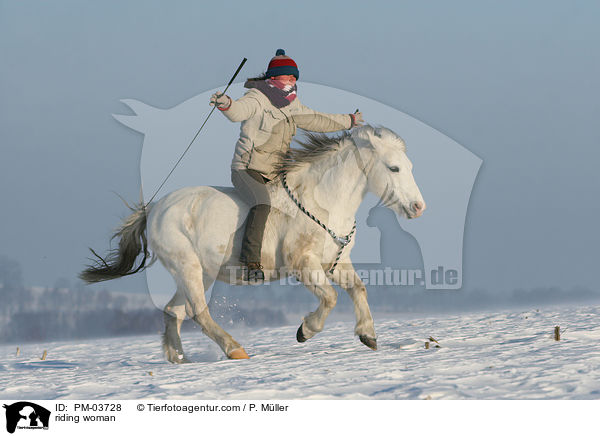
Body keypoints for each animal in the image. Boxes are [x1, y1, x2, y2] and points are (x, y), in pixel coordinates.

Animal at [81, 125, 426, 362]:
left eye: (410, 167)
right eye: (394, 168)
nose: (418, 207)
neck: (324, 203)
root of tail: (154, 209)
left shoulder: (335, 263)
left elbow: (358, 288)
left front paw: (368, 335)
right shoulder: (304, 264)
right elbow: (329, 298)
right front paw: (304, 331)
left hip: (200, 272)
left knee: (173, 311)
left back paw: (179, 359)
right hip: (187, 267)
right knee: (197, 312)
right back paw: (235, 350)